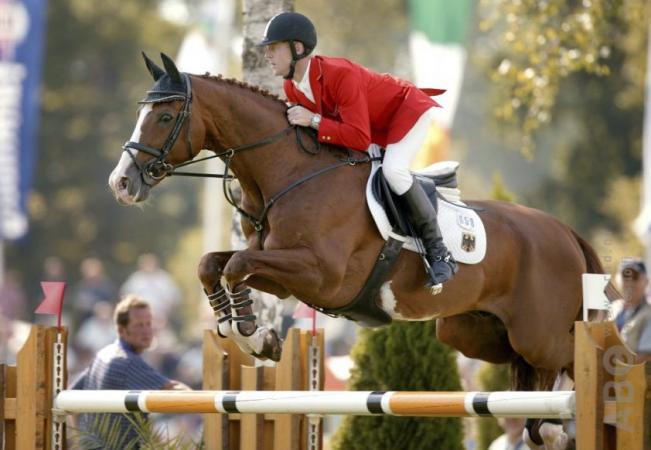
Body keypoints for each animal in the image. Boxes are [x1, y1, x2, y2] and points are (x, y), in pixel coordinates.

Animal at [109, 54, 612, 446]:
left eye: (166, 117)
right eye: (141, 113)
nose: (121, 184)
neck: (292, 172)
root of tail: (564, 232)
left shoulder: (320, 275)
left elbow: (236, 263)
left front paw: (252, 334)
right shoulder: (285, 276)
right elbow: (213, 264)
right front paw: (243, 328)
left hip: (538, 333)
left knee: (575, 358)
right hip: (471, 333)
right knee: (530, 375)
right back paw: (548, 426)